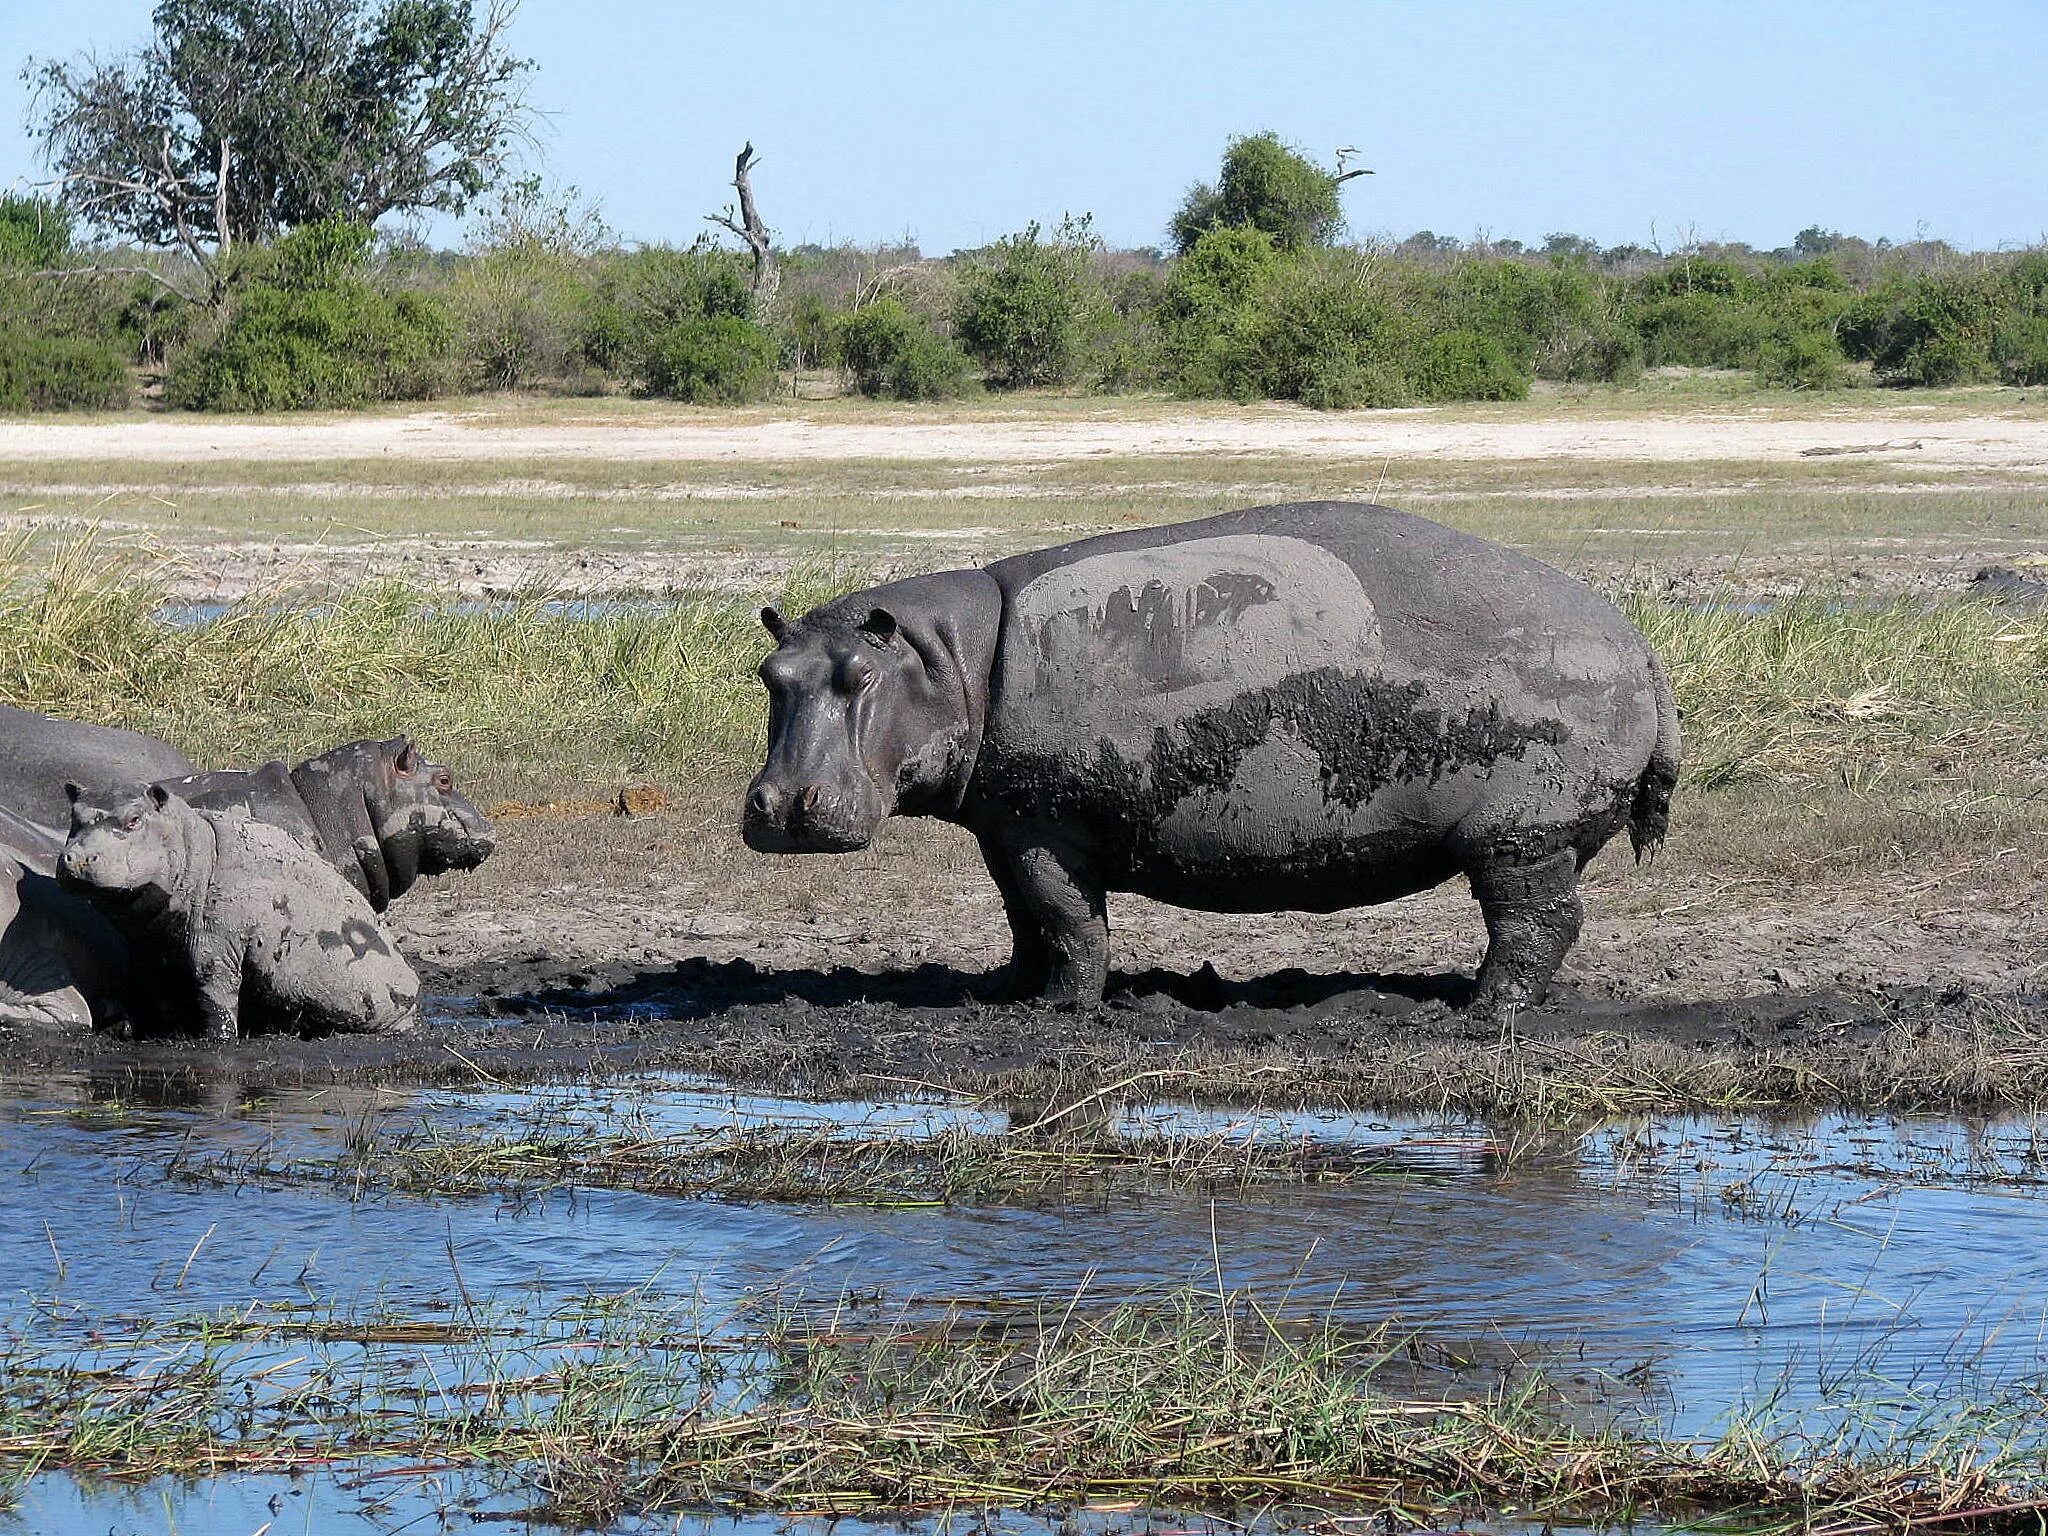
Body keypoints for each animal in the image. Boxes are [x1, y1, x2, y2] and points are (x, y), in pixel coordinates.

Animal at [59, 786, 421, 1040]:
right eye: (74, 818)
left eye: (134, 819)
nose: (75, 858)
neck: (197, 854)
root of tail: (413, 995)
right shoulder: (150, 957)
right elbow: (158, 1000)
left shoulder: (216, 948)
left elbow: (216, 998)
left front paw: (217, 1039)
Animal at [749, 499, 1679, 1015]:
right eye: (769, 673)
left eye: (863, 675)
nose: (783, 805)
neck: (947, 659)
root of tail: (1639, 646)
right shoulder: (1004, 828)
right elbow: (1025, 918)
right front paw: (1009, 994)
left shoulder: (1046, 827)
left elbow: (1069, 920)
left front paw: (1061, 1012)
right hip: (1540, 836)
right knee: (1550, 920)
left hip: (1520, 835)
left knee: (1536, 921)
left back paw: (1482, 1013)